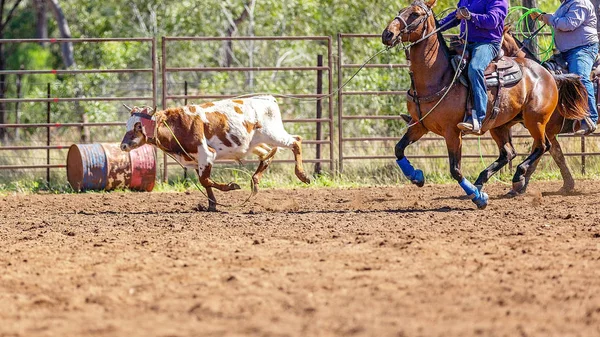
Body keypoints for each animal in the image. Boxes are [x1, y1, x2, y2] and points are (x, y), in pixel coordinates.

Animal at [120, 95, 312, 210]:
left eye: (139, 126)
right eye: (127, 125)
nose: (123, 146)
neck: (178, 125)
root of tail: (268, 99)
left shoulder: (206, 154)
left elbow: (205, 180)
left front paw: (231, 186)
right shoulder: (196, 160)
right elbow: (205, 182)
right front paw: (211, 205)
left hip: (273, 134)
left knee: (295, 141)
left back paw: (302, 175)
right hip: (254, 143)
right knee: (267, 154)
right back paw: (255, 182)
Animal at [382, 0, 588, 209]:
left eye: (415, 14)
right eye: (401, 11)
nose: (387, 34)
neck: (438, 76)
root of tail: (548, 73)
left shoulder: (452, 132)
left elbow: (455, 169)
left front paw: (478, 198)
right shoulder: (419, 126)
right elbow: (398, 149)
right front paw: (416, 176)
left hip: (535, 120)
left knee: (542, 146)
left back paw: (517, 177)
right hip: (500, 125)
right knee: (510, 153)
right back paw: (485, 181)